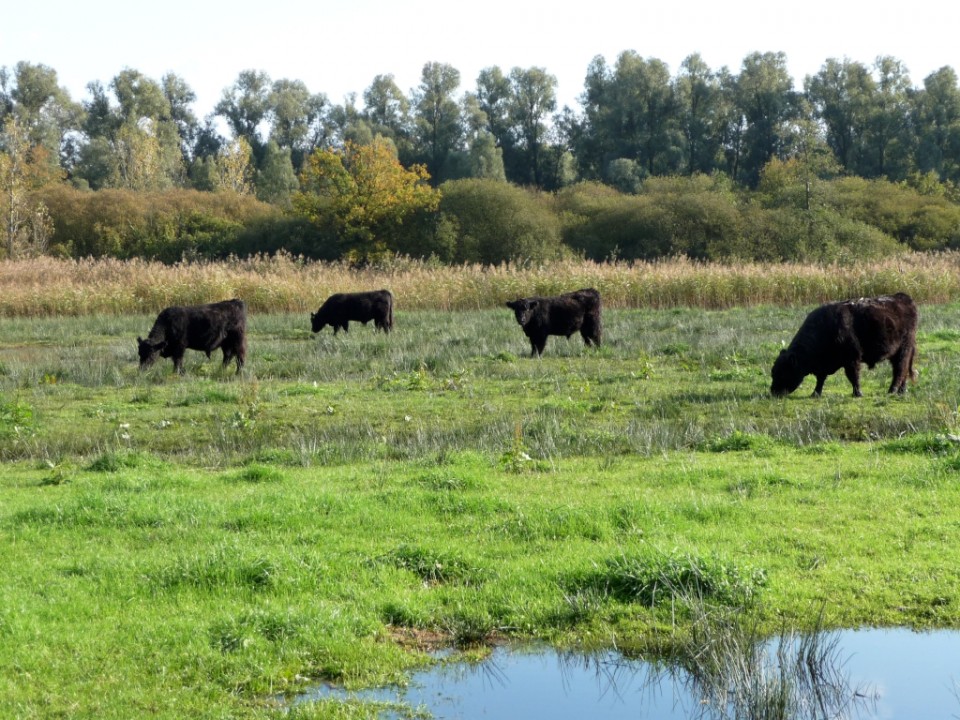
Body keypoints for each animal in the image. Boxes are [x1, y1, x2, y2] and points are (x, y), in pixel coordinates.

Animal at [768, 290, 920, 396]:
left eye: (783, 371)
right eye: (773, 371)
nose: (773, 392)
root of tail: (902, 297)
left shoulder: (852, 358)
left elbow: (853, 376)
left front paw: (858, 393)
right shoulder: (824, 365)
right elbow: (820, 378)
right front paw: (815, 393)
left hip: (903, 350)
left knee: (899, 370)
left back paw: (892, 391)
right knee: (903, 371)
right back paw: (901, 391)